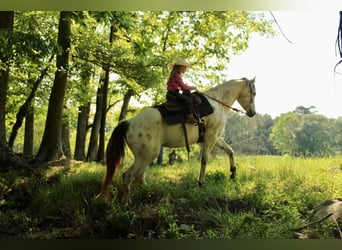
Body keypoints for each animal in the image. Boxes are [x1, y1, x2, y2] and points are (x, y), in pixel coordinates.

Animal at [97, 77, 255, 204]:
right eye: (254, 93)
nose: (252, 113)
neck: (217, 103)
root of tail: (129, 122)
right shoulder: (211, 136)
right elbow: (204, 160)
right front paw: (201, 182)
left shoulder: (214, 137)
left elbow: (230, 151)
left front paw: (233, 173)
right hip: (146, 156)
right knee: (128, 176)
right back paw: (126, 204)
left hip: (146, 157)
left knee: (139, 177)